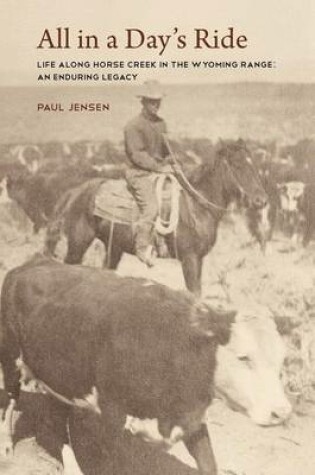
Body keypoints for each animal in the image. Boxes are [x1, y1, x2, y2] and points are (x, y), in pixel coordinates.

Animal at [43, 138, 266, 296]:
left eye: (254, 164)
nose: (261, 200)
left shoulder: (199, 259)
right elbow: (194, 293)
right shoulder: (190, 258)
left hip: (113, 248)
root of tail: (75, 191)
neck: (196, 205)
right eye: (237, 165)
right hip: (78, 243)